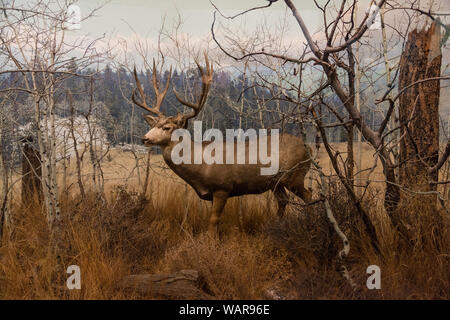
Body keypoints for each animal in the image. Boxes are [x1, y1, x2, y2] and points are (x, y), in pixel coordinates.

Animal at [132, 54, 312, 235]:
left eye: (167, 127)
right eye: (153, 125)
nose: (144, 139)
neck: (200, 165)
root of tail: (307, 147)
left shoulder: (222, 187)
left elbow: (213, 221)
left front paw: (211, 240)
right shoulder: (212, 194)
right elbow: (215, 222)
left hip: (295, 175)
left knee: (308, 195)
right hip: (276, 183)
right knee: (283, 200)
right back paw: (276, 227)